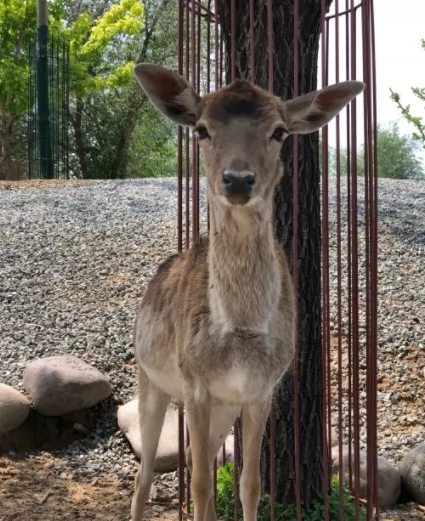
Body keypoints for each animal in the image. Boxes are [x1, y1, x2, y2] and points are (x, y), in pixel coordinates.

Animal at [131, 63, 362, 520]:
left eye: (279, 132)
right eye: (202, 129)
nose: (238, 179)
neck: (240, 332)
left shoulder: (260, 391)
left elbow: (249, 485)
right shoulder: (195, 383)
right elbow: (202, 485)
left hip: (222, 409)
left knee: (189, 458)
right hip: (151, 381)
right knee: (144, 474)